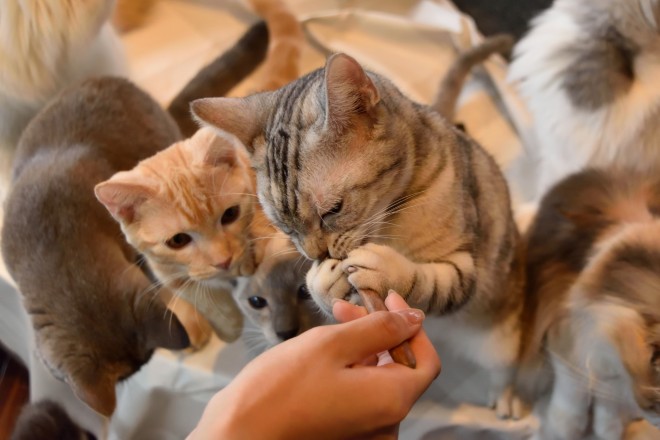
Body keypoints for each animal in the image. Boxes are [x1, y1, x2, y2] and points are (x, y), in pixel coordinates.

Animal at [520, 168, 660, 436]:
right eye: (655, 358)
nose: (653, 413)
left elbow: (608, 400)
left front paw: (609, 430)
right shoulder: (569, 333)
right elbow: (572, 393)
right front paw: (563, 430)